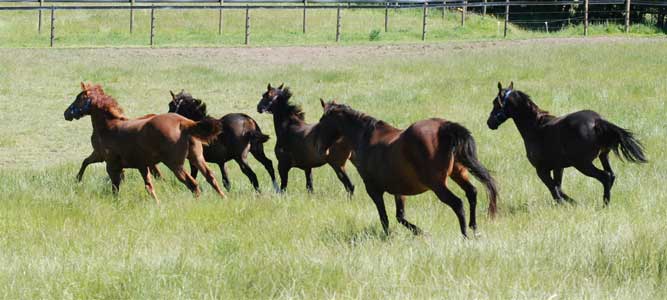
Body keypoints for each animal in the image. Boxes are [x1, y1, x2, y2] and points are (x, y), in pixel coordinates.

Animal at [65, 82, 227, 204]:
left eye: (78, 98)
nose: (66, 113)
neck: (108, 126)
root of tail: (184, 123)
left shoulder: (109, 162)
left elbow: (115, 185)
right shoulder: (138, 164)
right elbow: (148, 185)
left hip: (175, 164)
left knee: (192, 184)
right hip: (196, 158)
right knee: (210, 177)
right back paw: (224, 198)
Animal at [316, 99, 498, 238]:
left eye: (321, 122)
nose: (320, 149)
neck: (365, 137)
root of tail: (444, 128)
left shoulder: (374, 190)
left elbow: (385, 218)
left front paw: (390, 236)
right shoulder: (399, 190)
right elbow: (400, 217)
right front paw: (421, 232)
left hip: (438, 184)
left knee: (458, 203)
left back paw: (465, 234)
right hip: (458, 173)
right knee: (472, 193)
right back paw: (474, 229)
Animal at [486, 81, 648, 206]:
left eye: (495, 103)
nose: (489, 123)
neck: (536, 128)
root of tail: (597, 121)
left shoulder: (541, 170)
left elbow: (554, 190)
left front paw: (569, 203)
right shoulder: (559, 167)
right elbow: (558, 187)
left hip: (583, 164)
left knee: (605, 177)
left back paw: (604, 205)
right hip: (603, 156)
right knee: (611, 175)